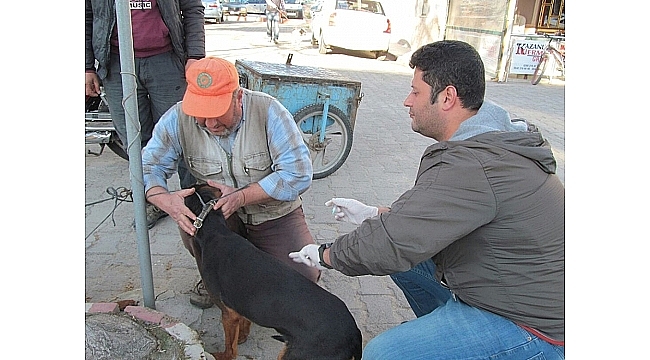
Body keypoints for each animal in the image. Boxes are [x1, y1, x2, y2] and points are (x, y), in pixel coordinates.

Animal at [182, 186, 362, 360]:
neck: (216, 231)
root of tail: (354, 334)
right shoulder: (243, 306)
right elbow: (244, 324)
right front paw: (242, 337)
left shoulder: (228, 313)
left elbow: (230, 349)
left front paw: (221, 354)